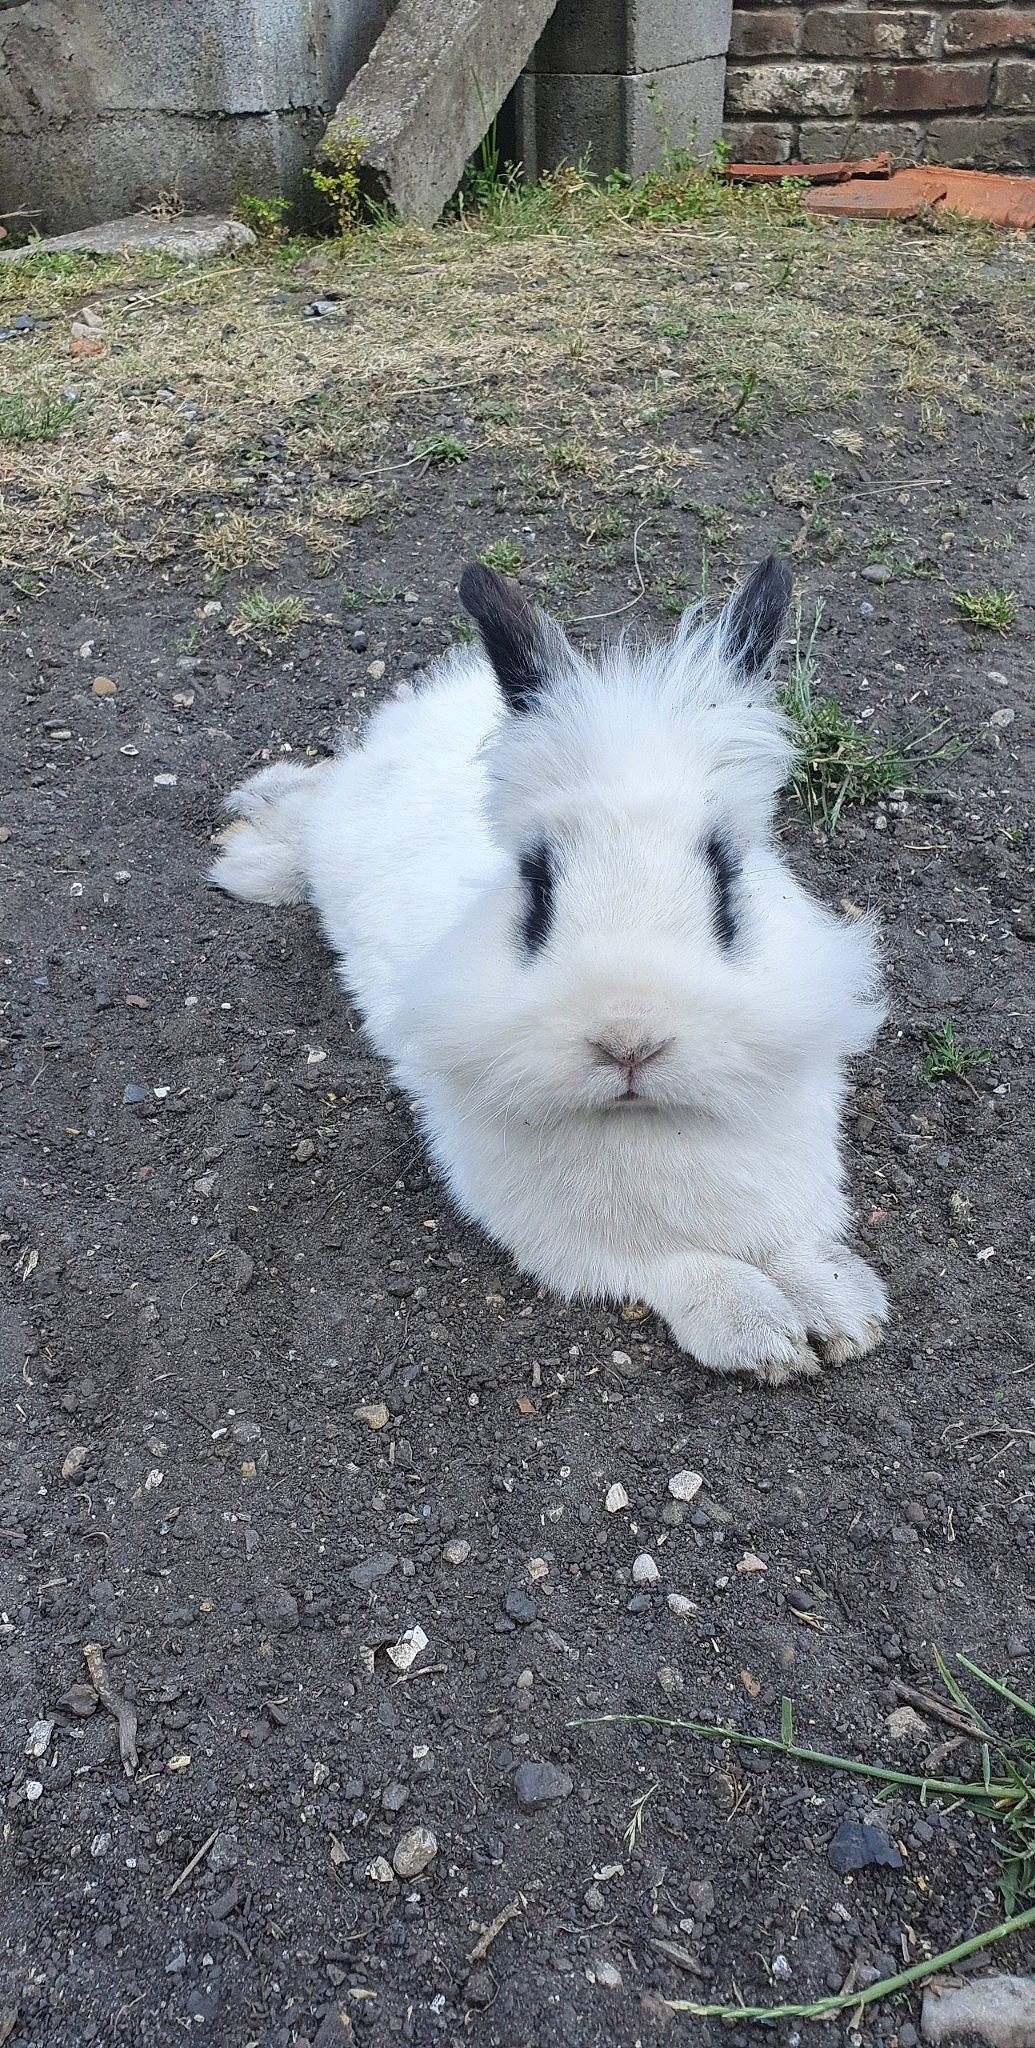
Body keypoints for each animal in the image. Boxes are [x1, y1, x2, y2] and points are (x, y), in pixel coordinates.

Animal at [210, 557, 888, 1383]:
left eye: (726, 884)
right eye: (536, 889)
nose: (628, 1039)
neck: (645, 1119)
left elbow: (793, 1249)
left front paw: (843, 1311)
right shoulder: (590, 1250)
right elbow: (684, 1270)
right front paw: (760, 1336)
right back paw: (249, 845)